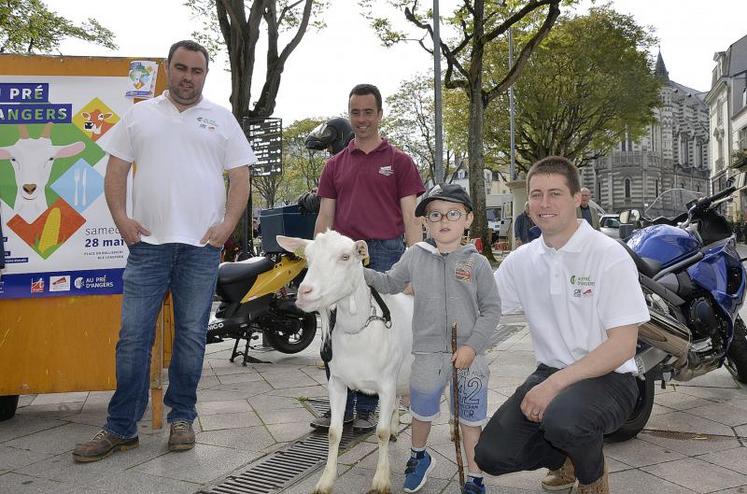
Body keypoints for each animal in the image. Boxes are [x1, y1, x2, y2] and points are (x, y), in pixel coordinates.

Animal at [276, 232, 414, 494]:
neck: (357, 330)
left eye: (345, 256)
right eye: (308, 257)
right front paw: (326, 481)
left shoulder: (386, 385)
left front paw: (381, 481)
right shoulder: (337, 383)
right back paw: (395, 428)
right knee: (398, 402)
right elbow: (334, 432)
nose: (304, 292)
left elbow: (380, 433)